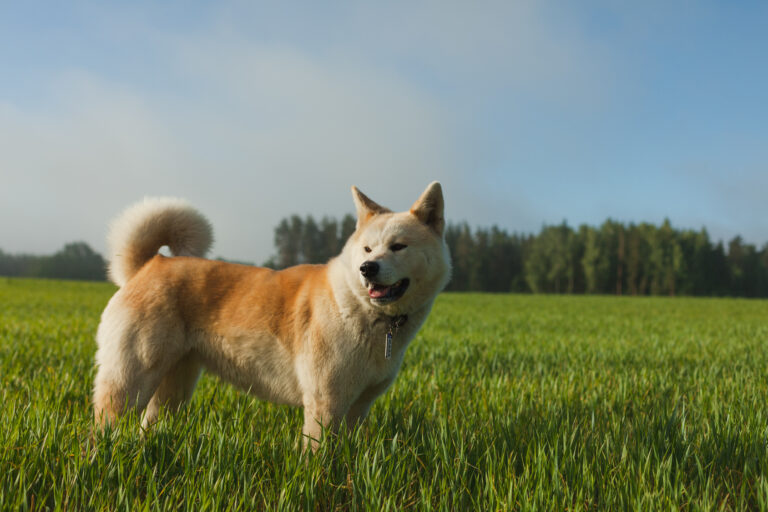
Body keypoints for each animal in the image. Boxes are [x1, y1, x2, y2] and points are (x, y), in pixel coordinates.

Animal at [91, 182, 450, 446]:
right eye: (367, 249)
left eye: (399, 246)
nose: (367, 268)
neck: (363, 312)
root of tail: (148, 265)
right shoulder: (325, 404)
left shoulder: (359, 409)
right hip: (128, 382)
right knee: (102, 428)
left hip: (172, 390)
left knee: (147, 426)